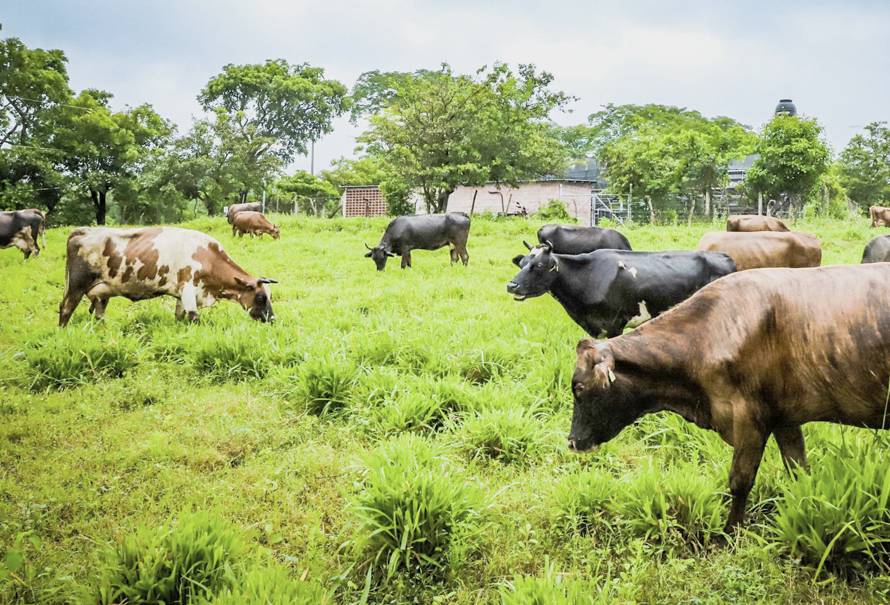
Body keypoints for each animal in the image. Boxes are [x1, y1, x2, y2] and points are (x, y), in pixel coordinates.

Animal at [60, 225, 276, 326]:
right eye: (260, 297)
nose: (272, 319)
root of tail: (82, 231)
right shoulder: (188, 288)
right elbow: (194, 318)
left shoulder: (181, 293)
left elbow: (179, 317)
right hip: (76, 286)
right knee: (65, 309)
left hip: (101, 293)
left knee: (99, 315)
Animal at [568, 264, 890, 528]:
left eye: (579, 389)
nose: (572, 442)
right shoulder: (784, 417)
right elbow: (798, 469)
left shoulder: (748, 419)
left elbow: (740, 481)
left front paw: (730, 533)